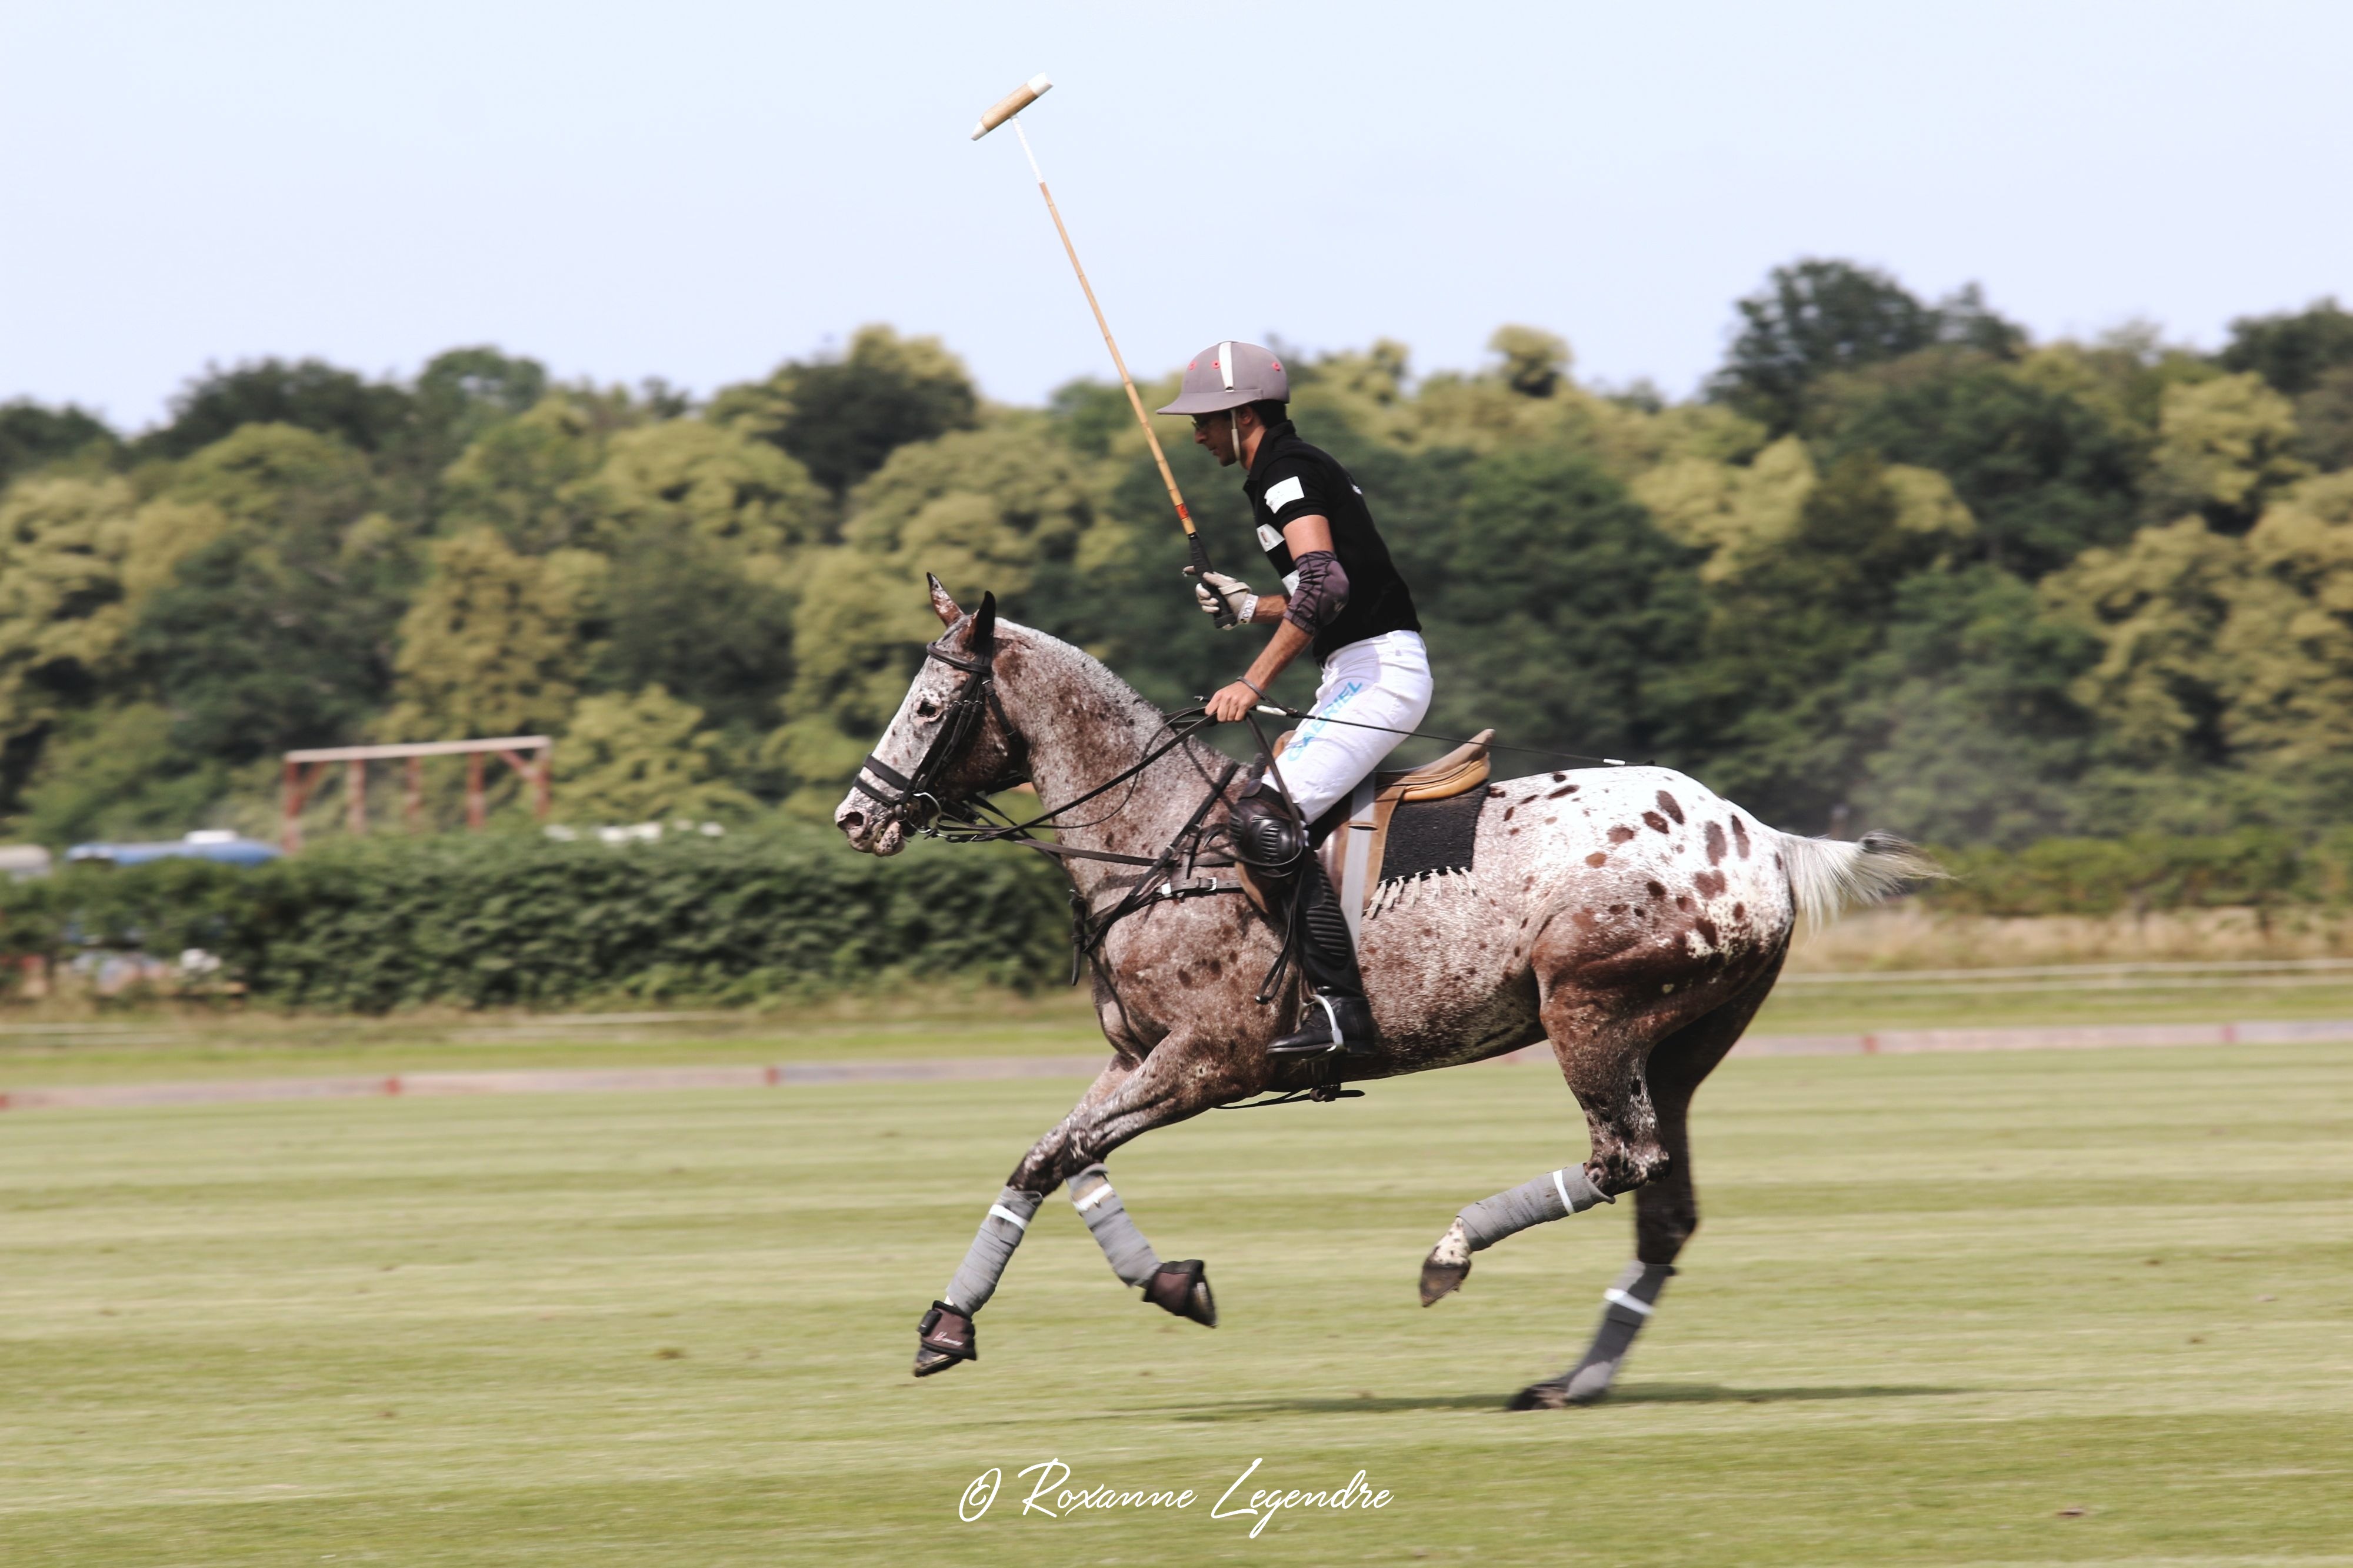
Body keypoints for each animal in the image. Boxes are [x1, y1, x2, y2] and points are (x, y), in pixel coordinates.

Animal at [838, 576, 1939, 1403]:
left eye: (929, 706)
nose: (857, 816)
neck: (1155, 839)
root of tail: (1763, 836)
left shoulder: (1208, 1061)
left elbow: (1061, 1152)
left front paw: (975, 1320)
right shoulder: (1133, 1056)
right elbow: (1054, 1157)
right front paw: (1112, 1293)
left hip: (1591, 1009)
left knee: (1623, 1158)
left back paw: (1452, 1254)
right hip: (1681, 1046)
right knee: (1664, 1203)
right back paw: (1573, 1381)